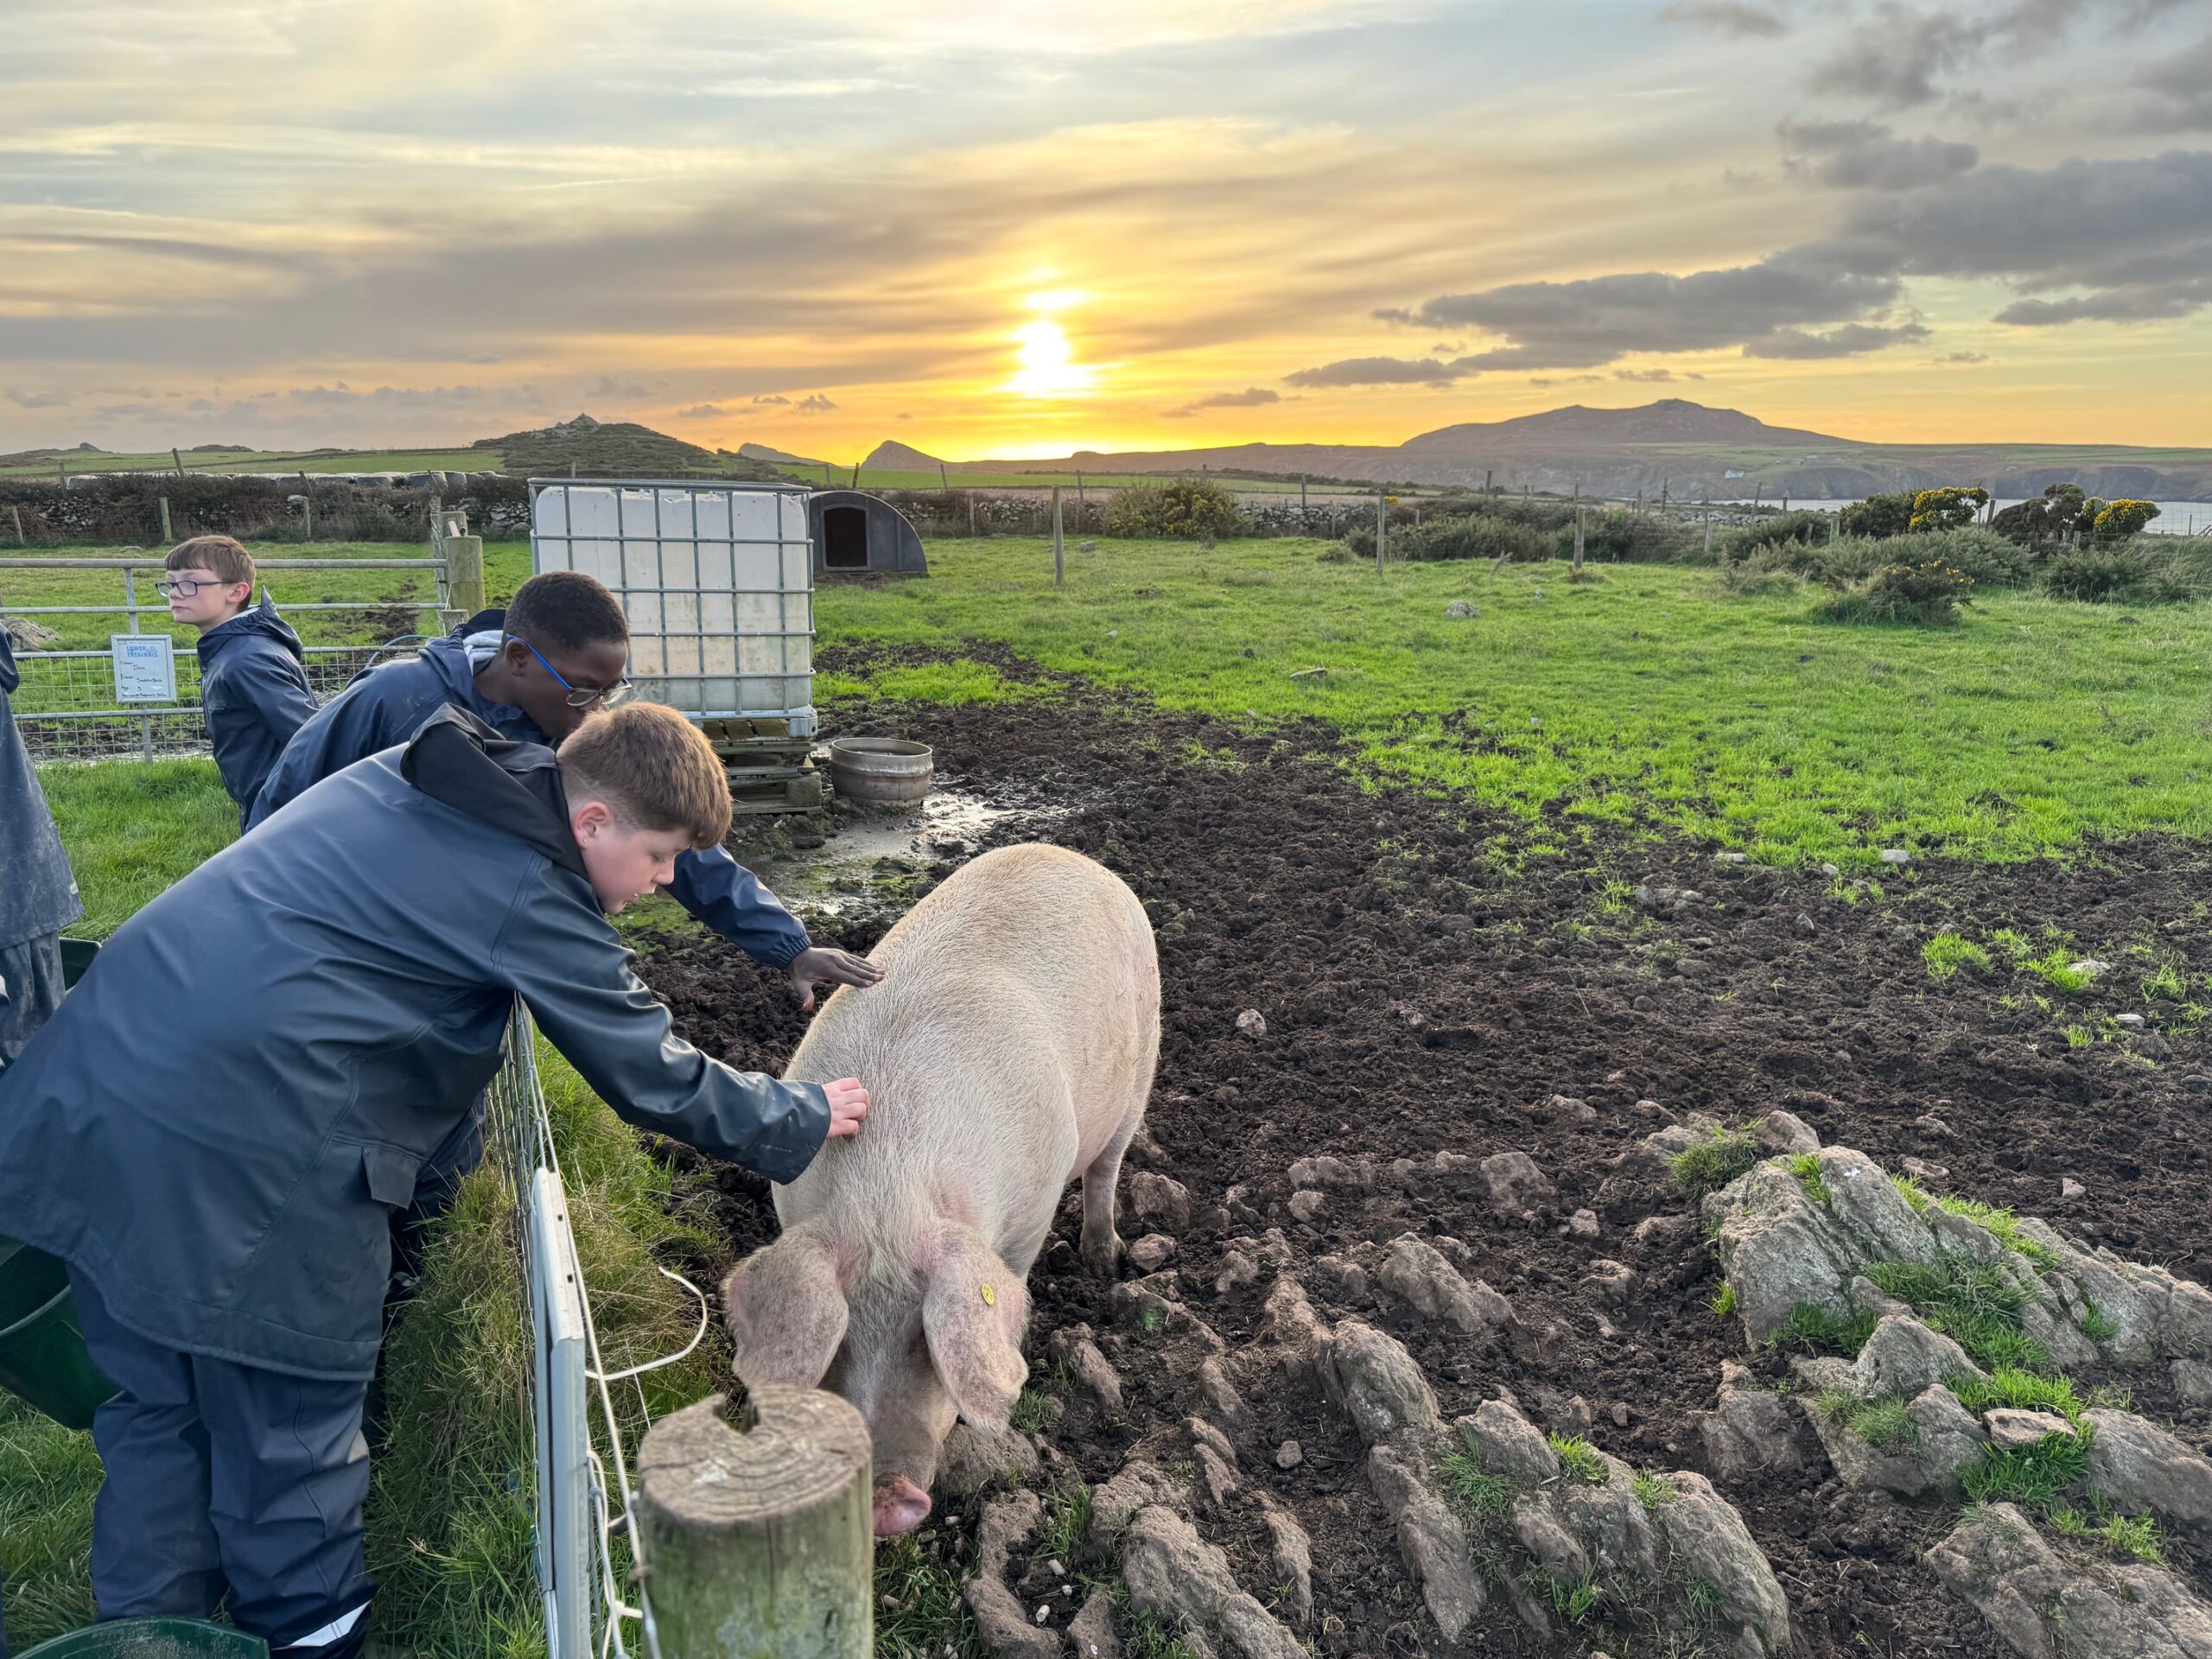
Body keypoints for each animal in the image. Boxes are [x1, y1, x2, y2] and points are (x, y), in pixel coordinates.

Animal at [722, 842, 1161, 1536]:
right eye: (841, 1339)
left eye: (924, 1337)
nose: (883, 1497)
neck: (886, 1194)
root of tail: (1075, 856)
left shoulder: (1034, 1203)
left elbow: (1015, 1280)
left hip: (1139, 1070)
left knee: (1106, 1169)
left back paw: (1102, 1260)